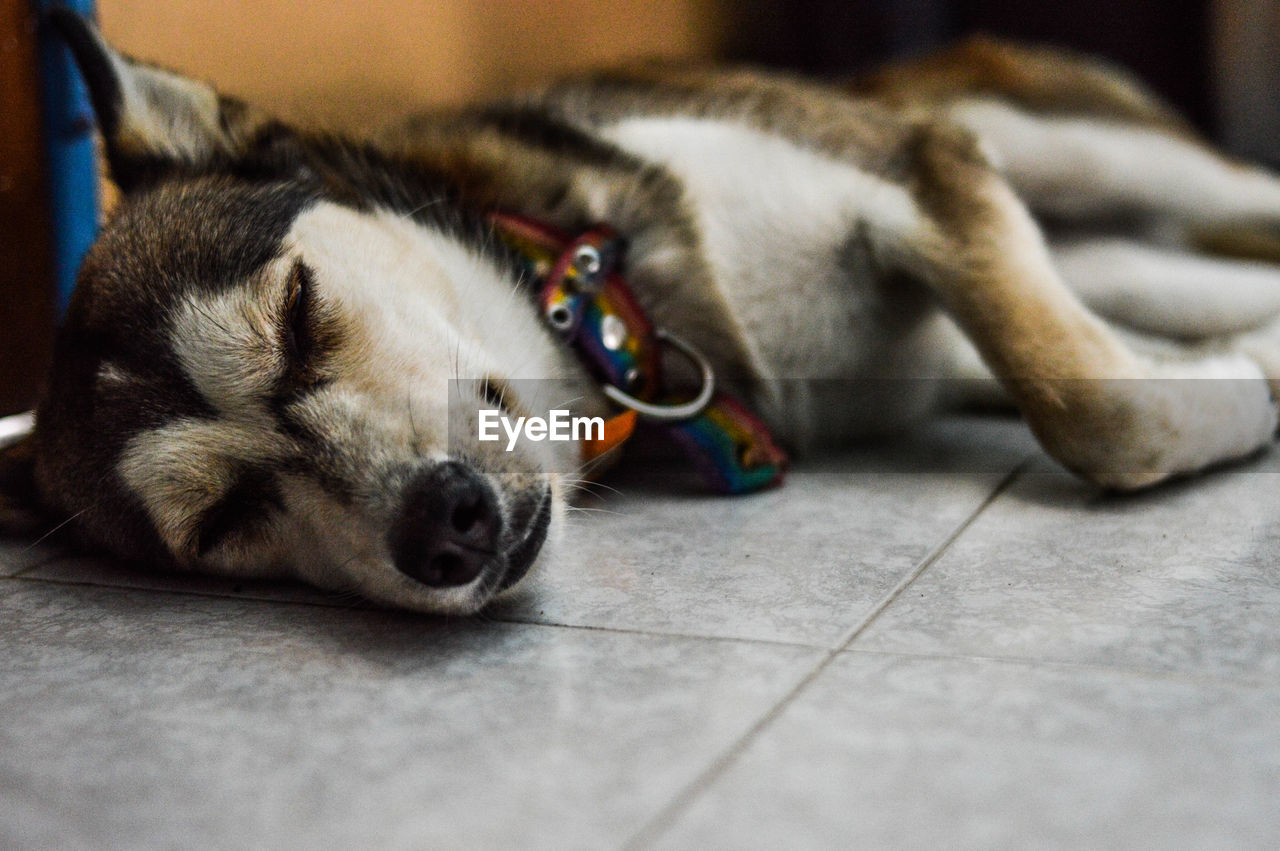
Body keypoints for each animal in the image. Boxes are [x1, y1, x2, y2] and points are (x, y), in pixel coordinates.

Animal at [2, 13, 1280, 611]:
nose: (442, 524)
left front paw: (1244, 396)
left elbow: (1088, 407)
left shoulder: (915, 176)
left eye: (300, 311)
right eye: (222, 521)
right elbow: (1096, 386)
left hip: (1046, 140)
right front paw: (1239, 373)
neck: (627, 318)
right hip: (1095, 243)